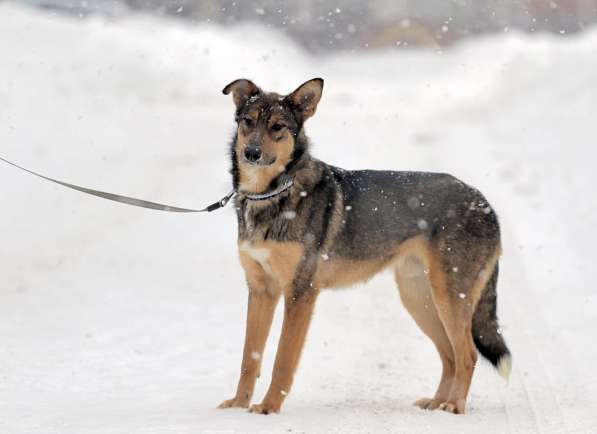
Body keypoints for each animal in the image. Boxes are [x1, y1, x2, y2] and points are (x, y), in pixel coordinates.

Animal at [214, 78, 508, 414]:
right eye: (248, 122)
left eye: (277, 127)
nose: (251, 153)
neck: (272, 194)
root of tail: (484, 203)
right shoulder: (261, 290)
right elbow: (249, 358)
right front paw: (239, 404)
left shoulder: (300, 293)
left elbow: (282, 360)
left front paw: (268, 407)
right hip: (419, 298)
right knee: (450, 355)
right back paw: (437, 402)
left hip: (449, 296)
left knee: (467, 355)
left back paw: (454, 406)